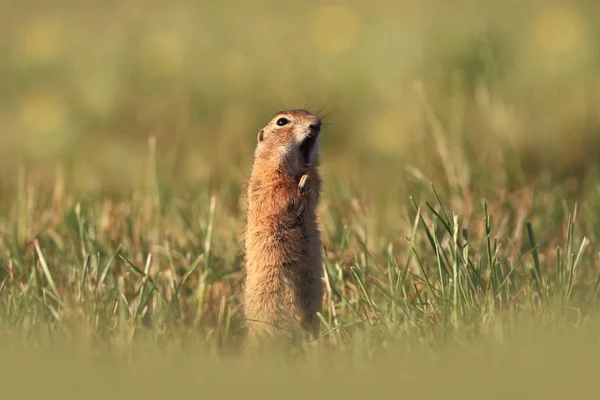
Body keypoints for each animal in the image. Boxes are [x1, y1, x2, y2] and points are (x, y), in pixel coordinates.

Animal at [243, 109, 324, 346]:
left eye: (309, 113)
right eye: (282, 122)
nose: (316, 123)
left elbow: (314, 189)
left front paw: (306, 184)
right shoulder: (268, 181)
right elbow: (280, 194)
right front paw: (300, 190)